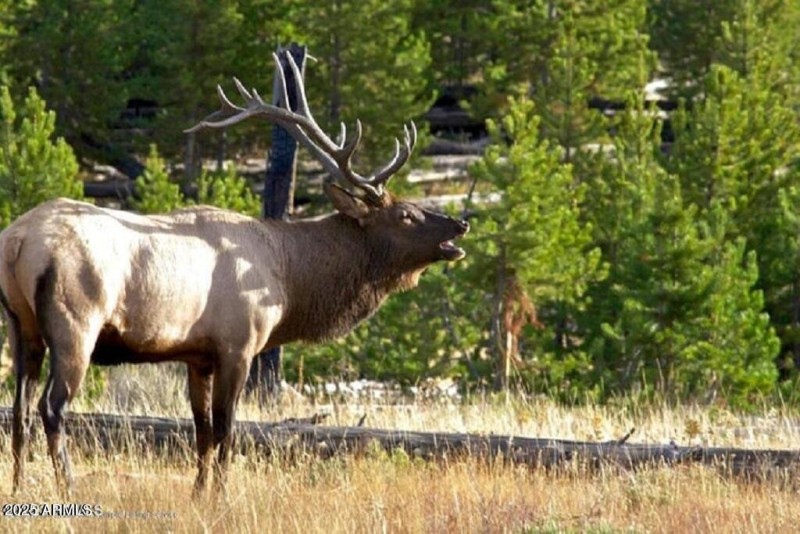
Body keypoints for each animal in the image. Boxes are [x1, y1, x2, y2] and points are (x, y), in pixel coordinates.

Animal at [0, 51, 469, 496]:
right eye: (406, 215)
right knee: (51, 407)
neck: (290, 280)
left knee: (19, 409)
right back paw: (67, 486)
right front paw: (222, 495)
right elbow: (227, 430)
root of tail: (18, 240)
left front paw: (199, 495)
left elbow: (202, 431)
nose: (460, 224)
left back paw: (19, 486)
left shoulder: (197, 355)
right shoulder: (238, 344)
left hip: (21, 326)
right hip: (75, 324)